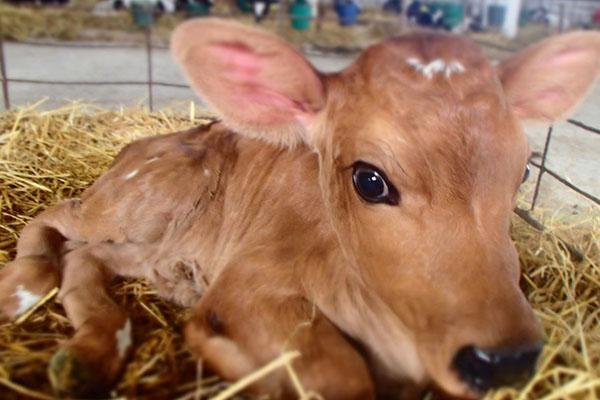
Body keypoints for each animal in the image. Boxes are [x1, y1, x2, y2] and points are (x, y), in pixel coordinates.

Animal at [1, 19, 600, 400]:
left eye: (524, 171)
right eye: (369, 179)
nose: (507, 360)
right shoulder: (248, 286)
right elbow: (341, 376)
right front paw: (227, 357)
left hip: (149, 249)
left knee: (85, 258)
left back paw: (86, 358)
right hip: (139, 201)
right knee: (57, 219)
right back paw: (22, 288)